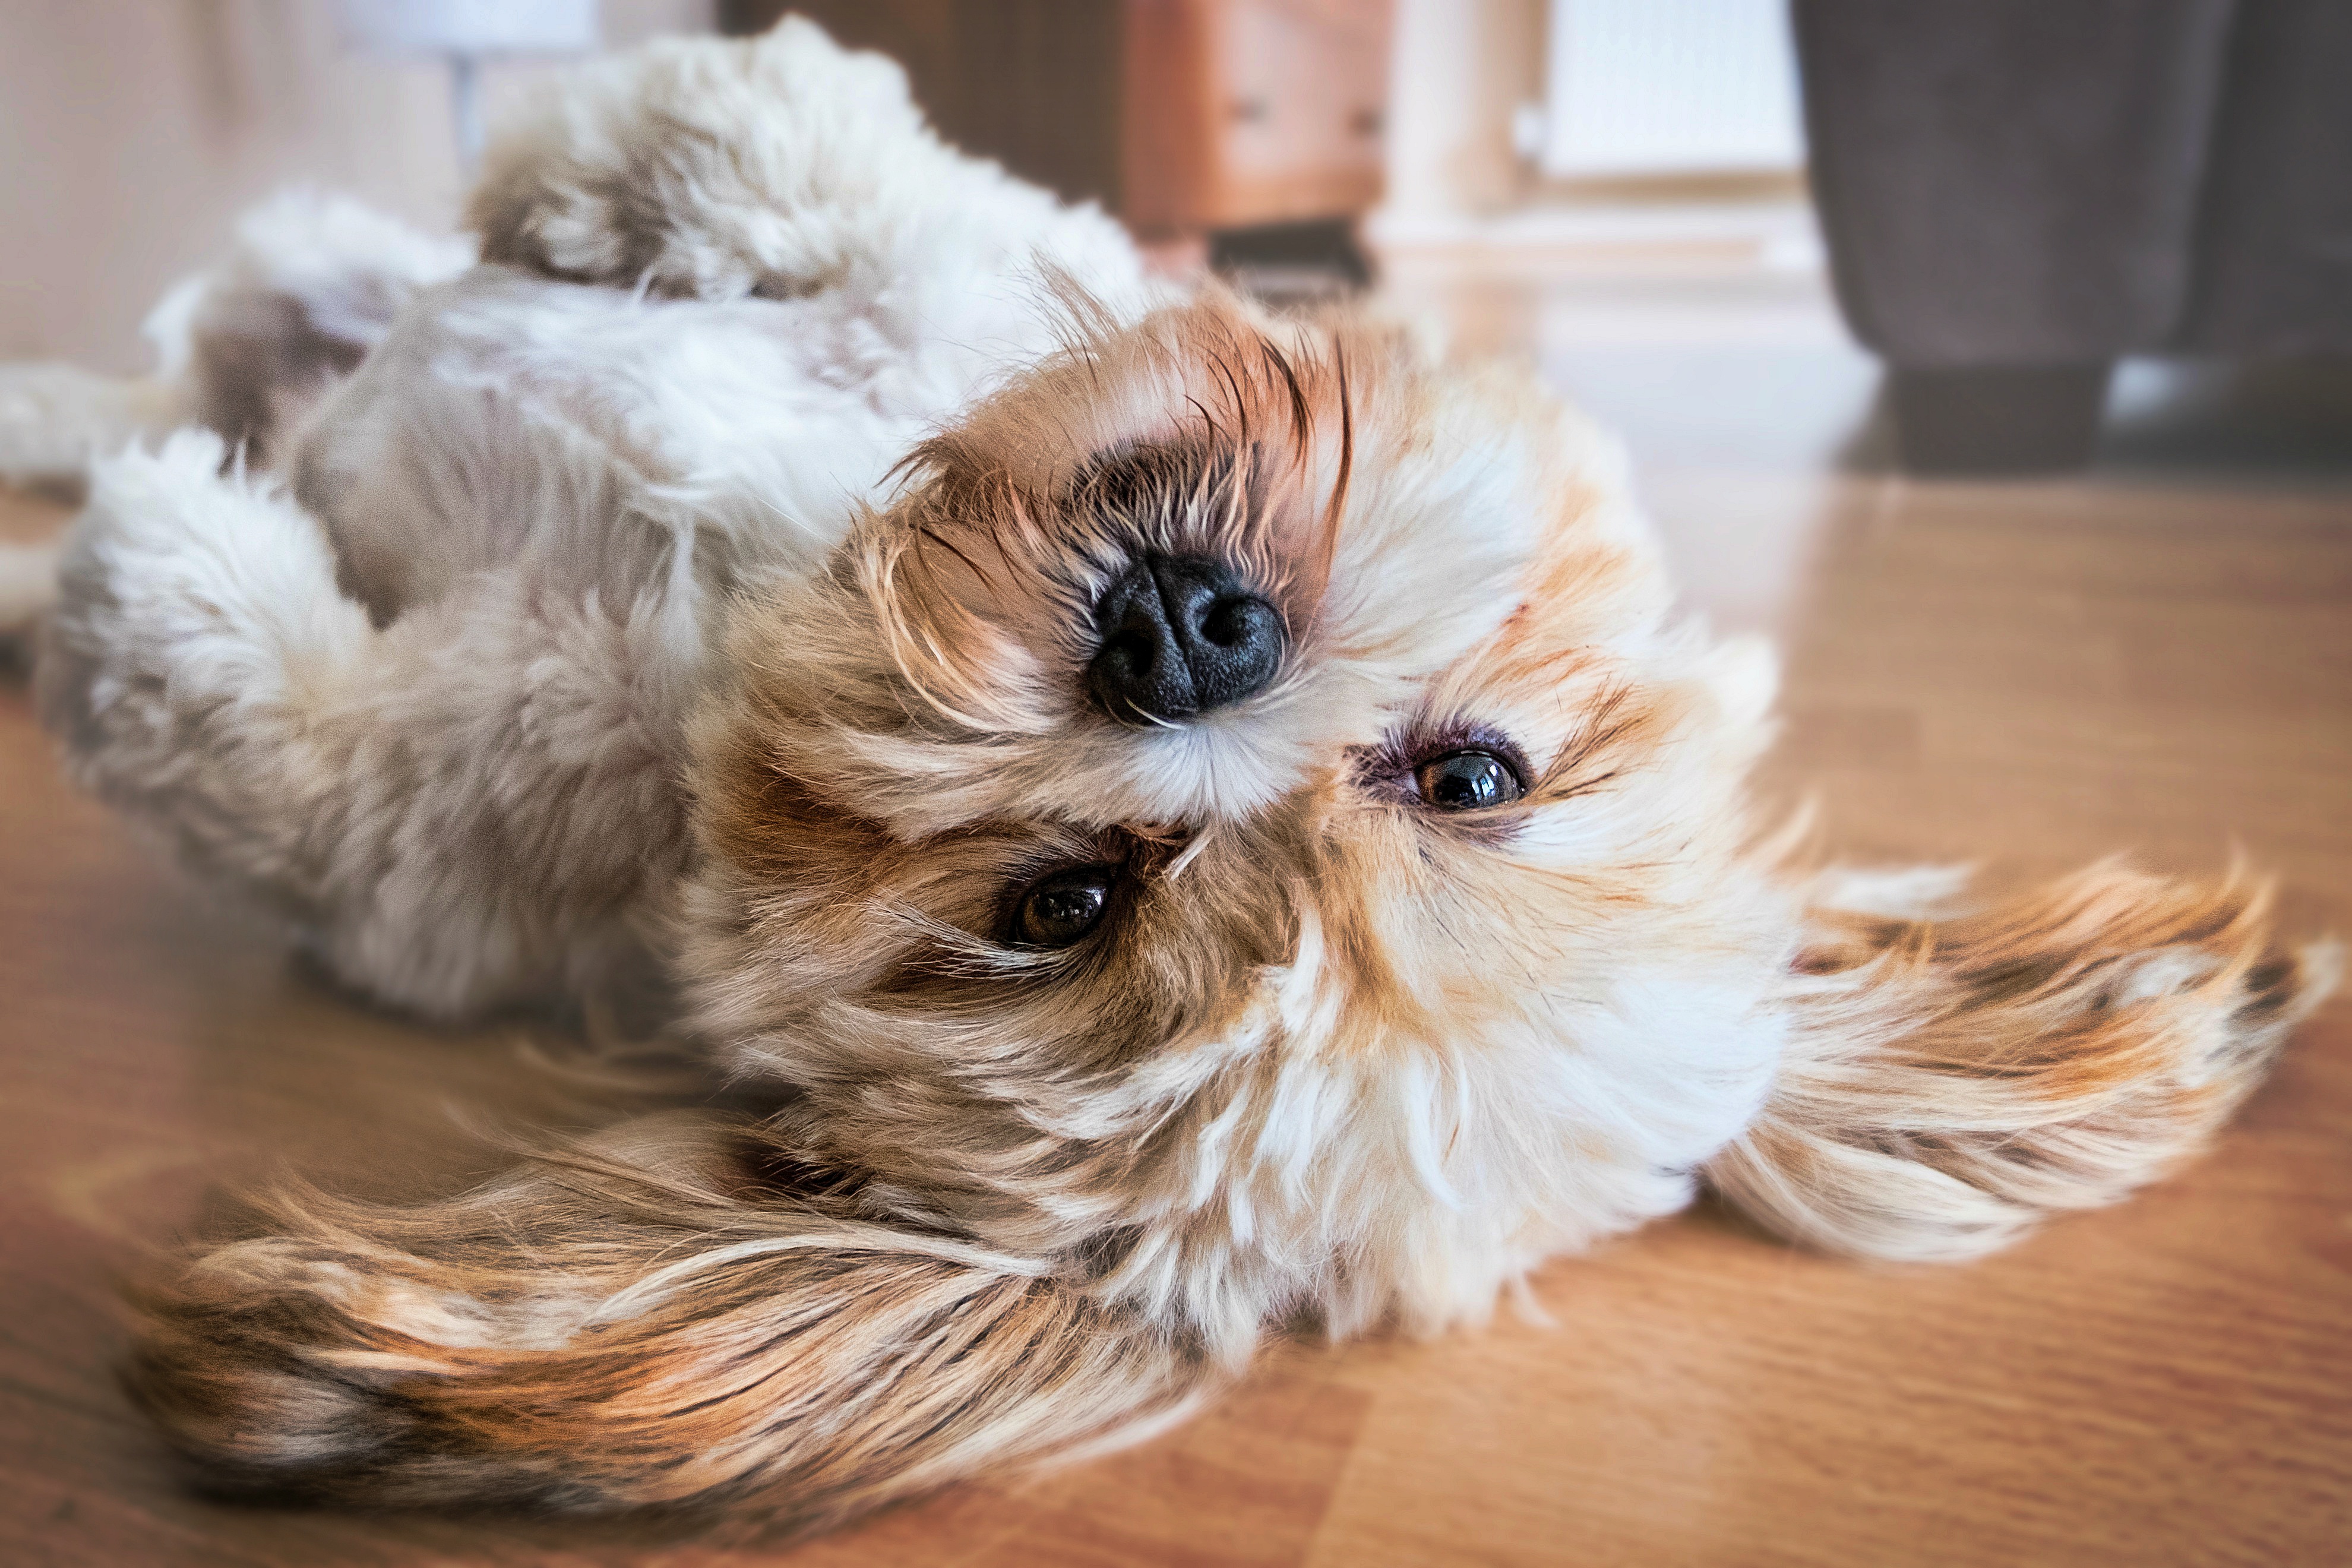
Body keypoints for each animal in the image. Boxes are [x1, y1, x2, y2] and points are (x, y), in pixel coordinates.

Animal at [4, 18, 2333, 1542]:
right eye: (1472, 773)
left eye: (1060, 905)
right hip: (301, 274)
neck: (760, 588)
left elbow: (258, 722)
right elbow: (805, 157)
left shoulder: (427, 846)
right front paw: (611, 166)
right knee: (216, 321)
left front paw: (153, 565)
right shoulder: (950, 257)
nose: (1187, 636)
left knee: (175, 411)